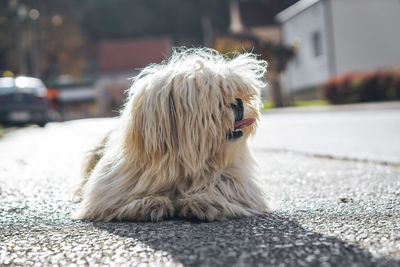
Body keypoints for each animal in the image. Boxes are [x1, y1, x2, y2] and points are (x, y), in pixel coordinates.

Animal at [74, 47, 270, 222]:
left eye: (237, 93)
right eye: (214, 99)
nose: (238, 102)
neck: (182, 164)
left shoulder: (237, 180)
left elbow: (224, 185)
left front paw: (204, 200)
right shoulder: (113, 186)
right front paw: (148, 202)